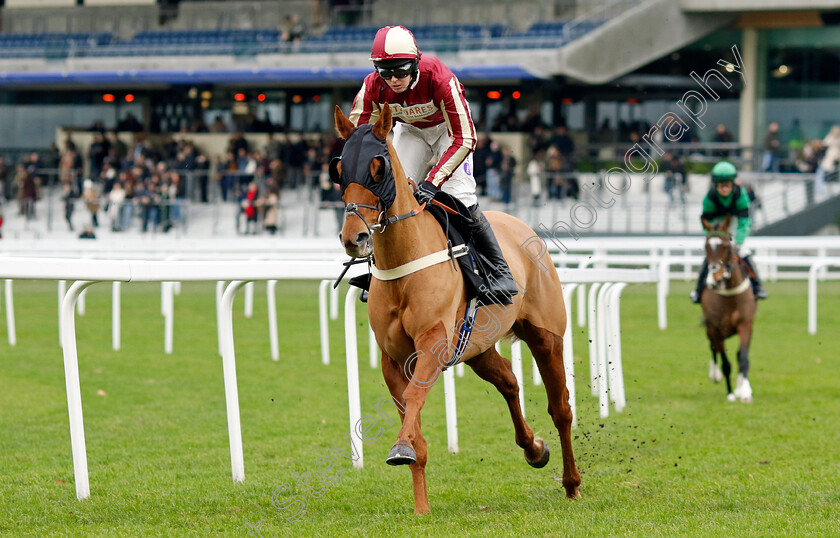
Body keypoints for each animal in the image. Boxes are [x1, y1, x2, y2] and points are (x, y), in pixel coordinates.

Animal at [332, 104, 580, 510]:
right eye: (339, 169)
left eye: (378, 167)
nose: (355, 237)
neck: (404, 261)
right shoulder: (393, 357)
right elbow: (411, 418)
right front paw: (420, 503)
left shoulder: (432, 342)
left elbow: (414, 396)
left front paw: (401, 449)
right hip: (477, 347)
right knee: (509, 380)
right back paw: (534, 448)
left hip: (546, 335)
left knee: (561, 408)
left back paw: (572, 482)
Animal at [700, 216, 756, 400]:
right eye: (706, 246)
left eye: (726, 246)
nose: (714, 280)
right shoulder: (716, 328)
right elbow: (725, 363)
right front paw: (731, 393)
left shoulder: (745, 325)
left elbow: (743, 358)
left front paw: (744, 391)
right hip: (711, 329)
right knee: (713, 348)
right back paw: (715, 375)